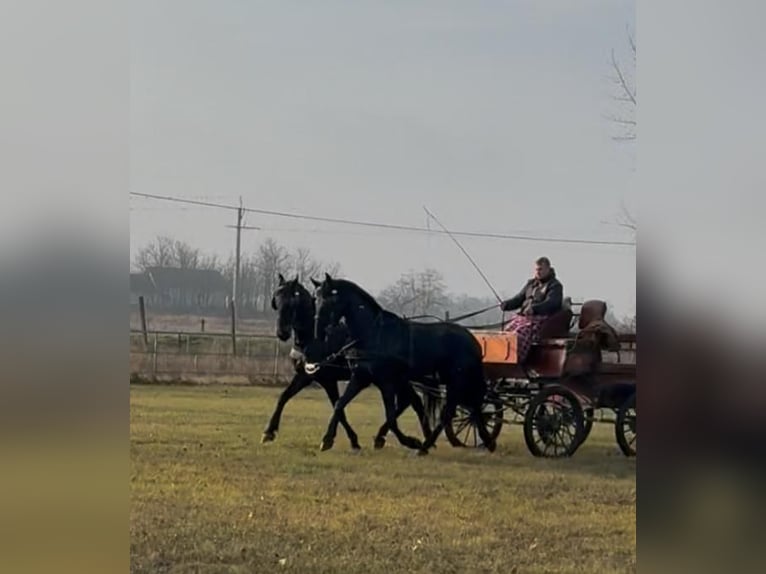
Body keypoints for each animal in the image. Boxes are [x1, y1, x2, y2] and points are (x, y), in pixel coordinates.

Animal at [262, 274, 431, 449]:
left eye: (292, 302)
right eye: (276, 300)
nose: (282, 333)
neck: (315, 339)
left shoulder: (327, 379)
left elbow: (338, 406)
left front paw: (340, 439)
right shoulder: (306, 375)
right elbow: (284, 397)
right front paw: (269, 431)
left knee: (411, 401)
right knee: (410, 401)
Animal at [313, 273, 496, 455]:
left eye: (329, 299)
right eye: (316, 298)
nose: (319, 330)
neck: (374, 334)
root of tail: (473, 340)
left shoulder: (386, 382)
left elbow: (391, 417)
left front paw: (410, 442)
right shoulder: (361, 377)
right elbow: (340, 404)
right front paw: (327, 440)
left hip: (457, 382)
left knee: (451, 413)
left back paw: (425, 446)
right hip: (454, 382)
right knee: (470, 408)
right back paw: (485, 441)